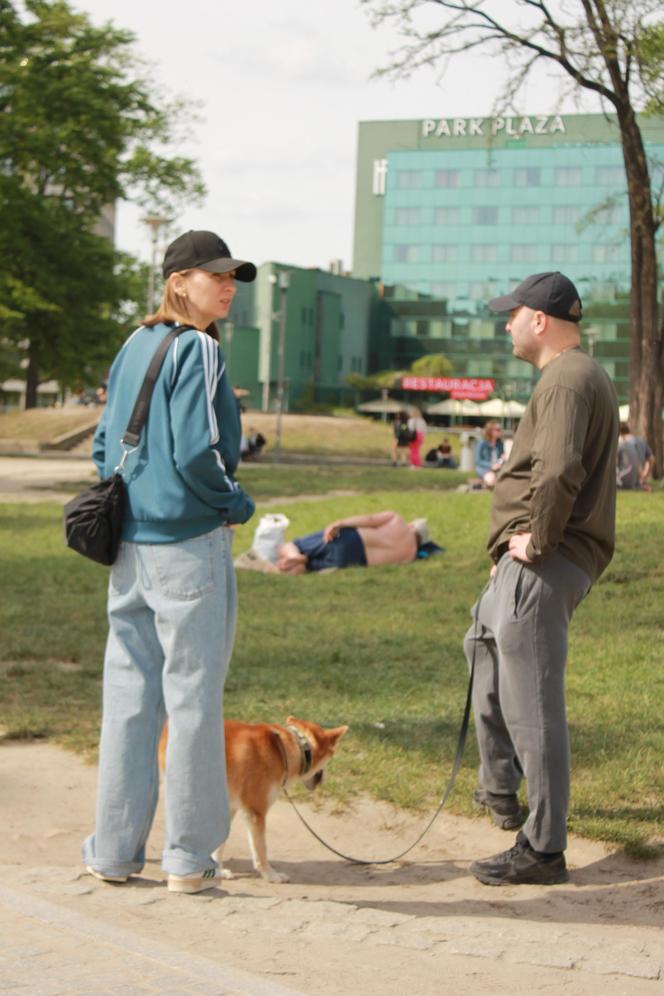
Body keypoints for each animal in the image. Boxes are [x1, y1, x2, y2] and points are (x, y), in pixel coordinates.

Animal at [159, 720, 350, 884]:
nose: (323, 781)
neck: (282, 750)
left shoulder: (229, 808)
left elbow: (219, 846)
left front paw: (219, 870)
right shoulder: (256, 812)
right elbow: (260, 850)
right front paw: (271, 875)